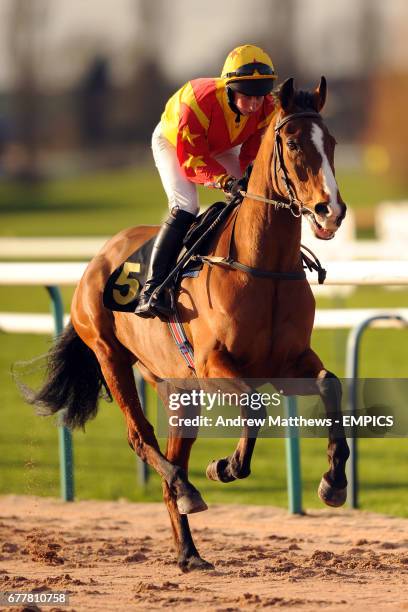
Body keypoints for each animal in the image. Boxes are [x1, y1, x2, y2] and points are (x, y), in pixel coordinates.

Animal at [27, 77, 350, 572]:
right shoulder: (216, 363)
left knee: (172, 456)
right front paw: (227, 466)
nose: (330, 211)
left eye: (330, 142)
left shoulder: (290, 360)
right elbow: (255, 408)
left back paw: (189, 550)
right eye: (294, 143)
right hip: (110, 356)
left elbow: (330, 385)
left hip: (179, 388)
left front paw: (333, 482)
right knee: (141, 438)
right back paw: (186, 489)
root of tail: (101, 255)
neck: (263, 268)